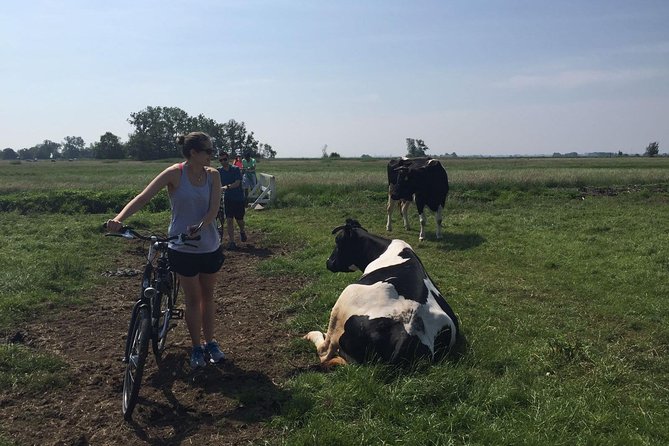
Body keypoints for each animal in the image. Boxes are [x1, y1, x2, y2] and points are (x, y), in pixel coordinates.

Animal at [302, 218, 460, 368]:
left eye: (338, 242)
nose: (328, 262)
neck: (382, 250)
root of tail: (410, 328)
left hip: (344, 300)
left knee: (325, 350)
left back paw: (311, 335)